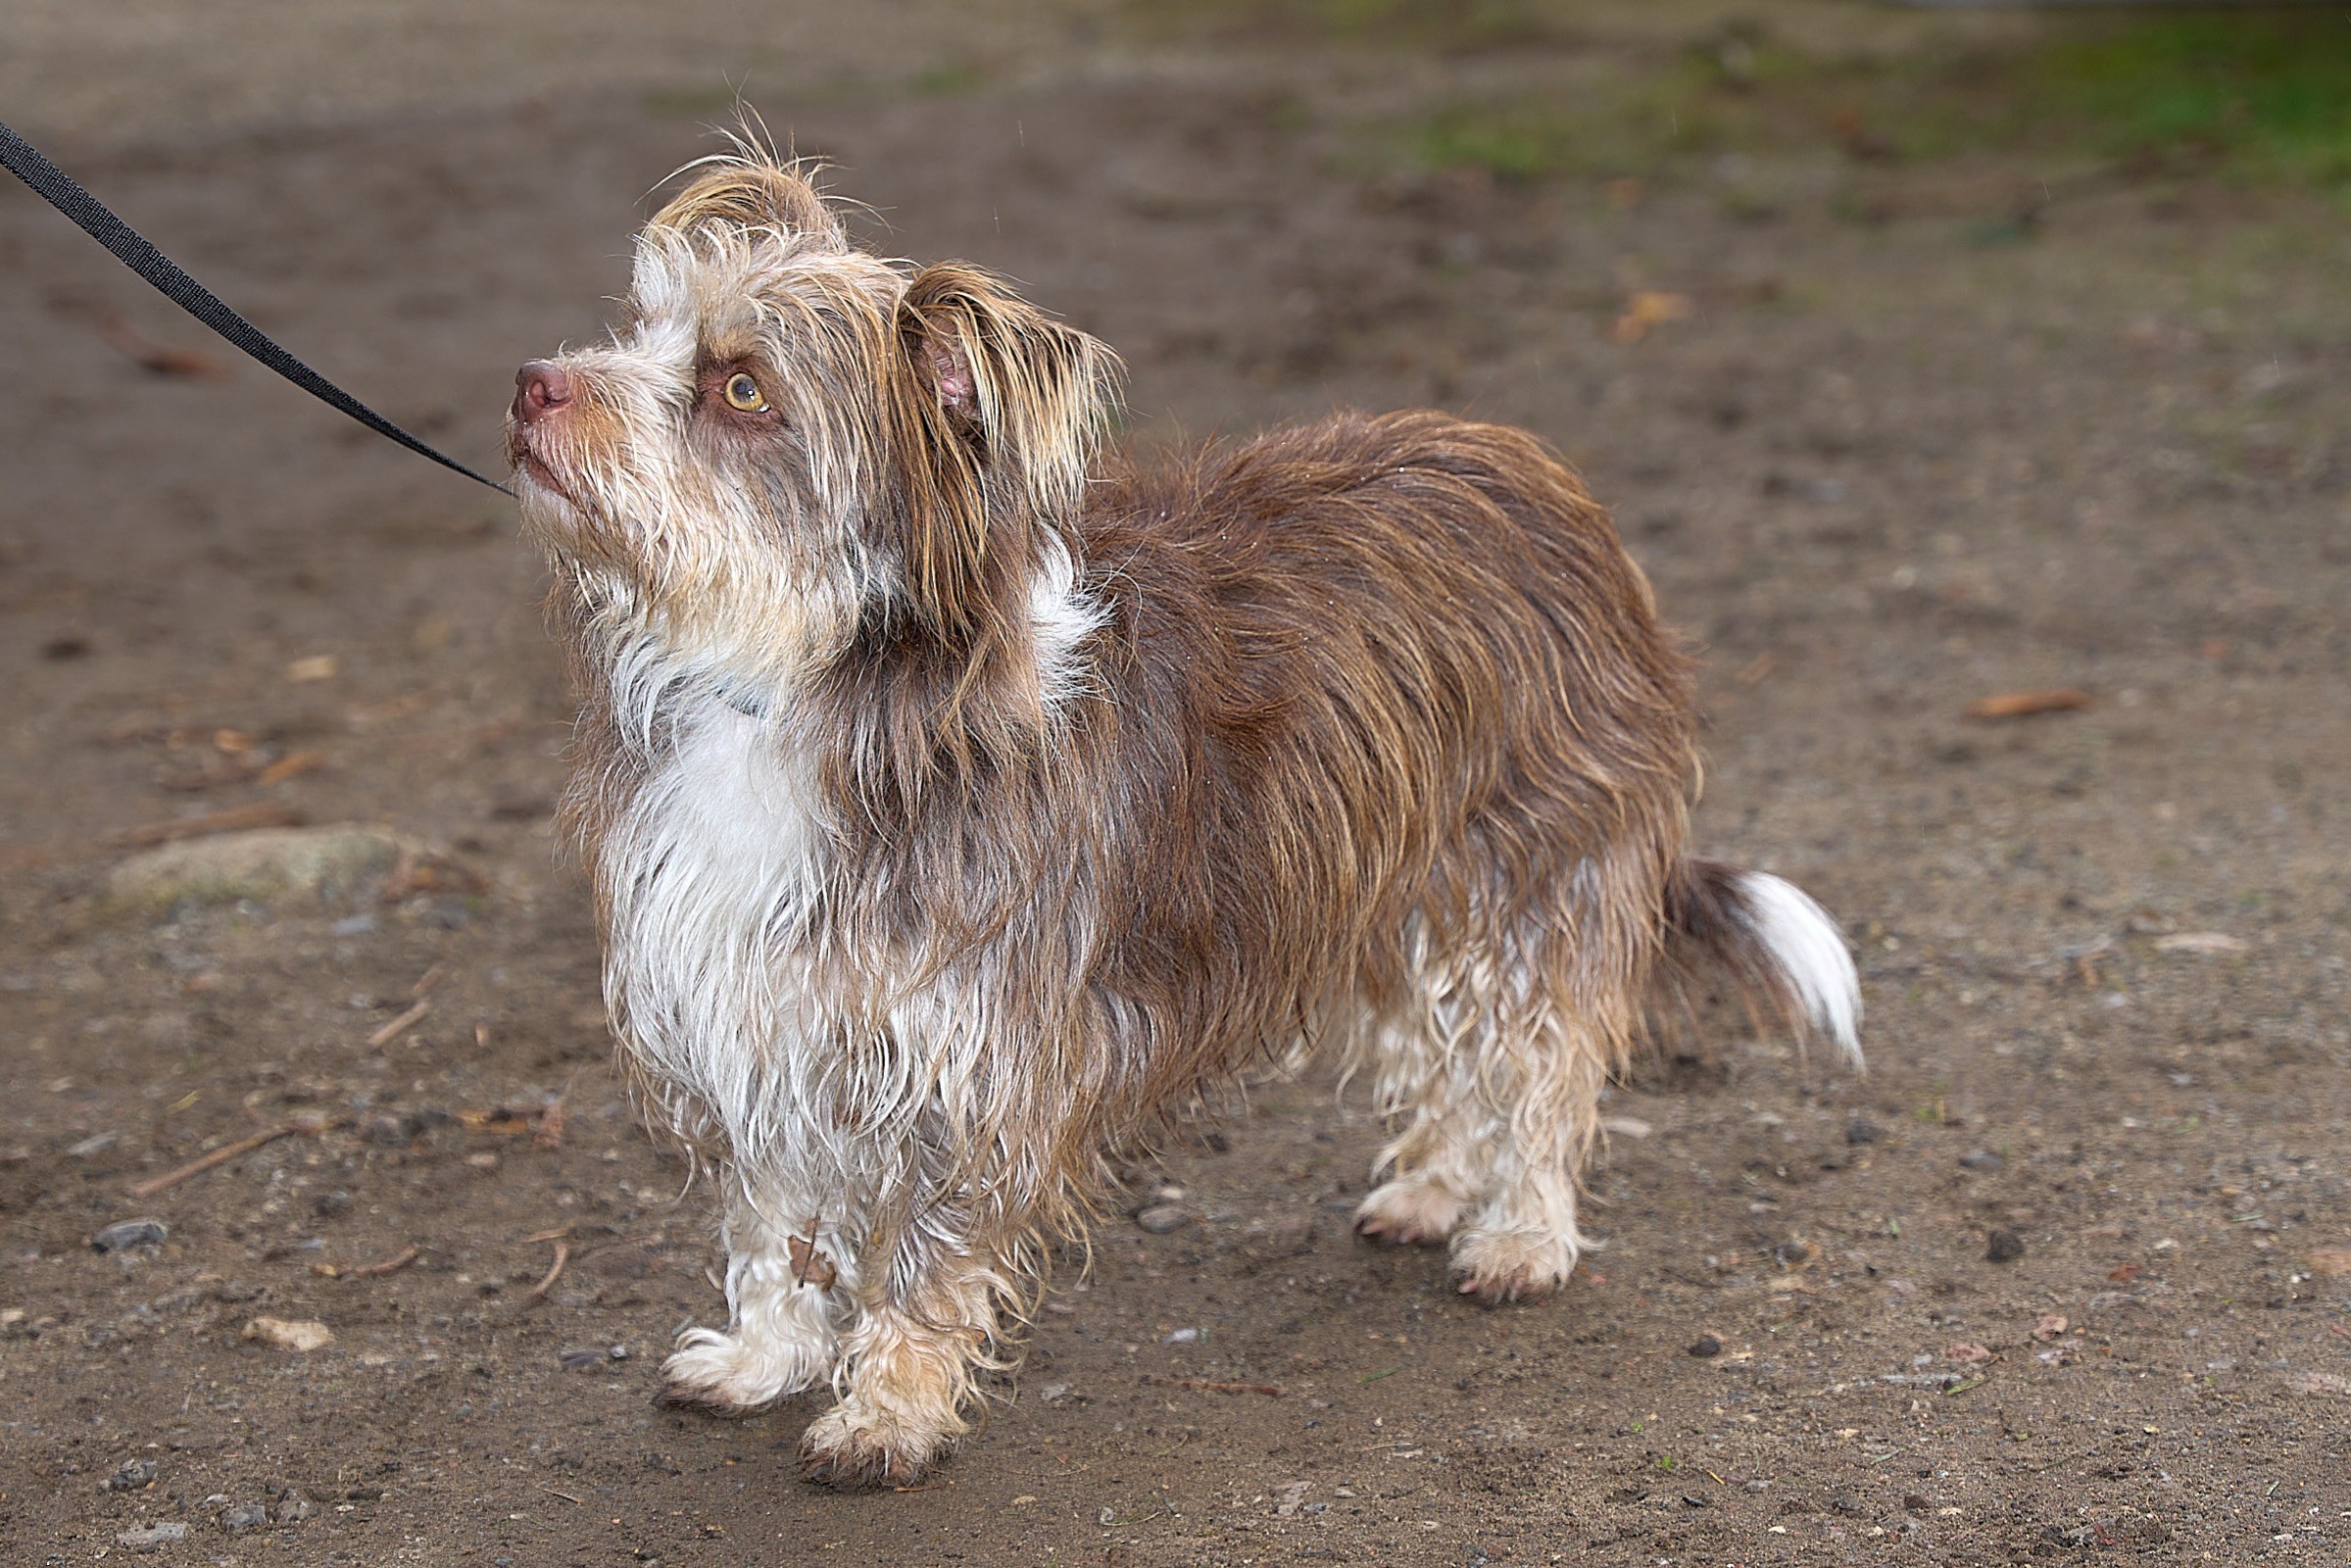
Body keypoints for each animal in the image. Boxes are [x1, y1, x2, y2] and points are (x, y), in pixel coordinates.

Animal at [505, 152, 1862, 1494]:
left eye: (740, 386)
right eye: (641, 327)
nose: (529, 384)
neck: (792, 686)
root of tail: (1540, 476)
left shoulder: (979, 1062)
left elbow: (925, 1260)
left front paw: (886, 1412)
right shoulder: (755, 1013)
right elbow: (773, 1218)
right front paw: (762, 1357)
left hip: (1528, 872)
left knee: (1541, 1059)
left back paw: (1520, 1229)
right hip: (1373, 882)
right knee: (1436, 1048)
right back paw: (1430, 1188)